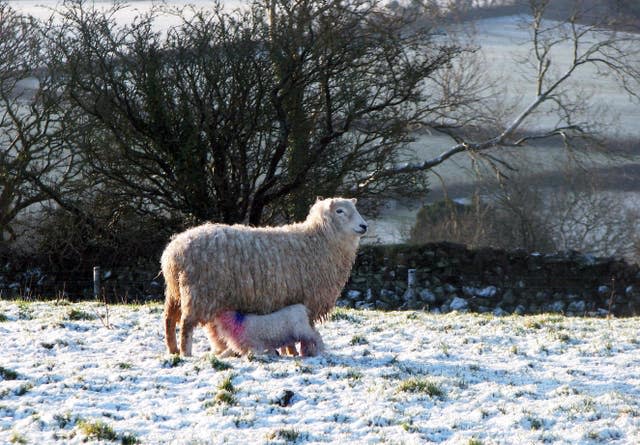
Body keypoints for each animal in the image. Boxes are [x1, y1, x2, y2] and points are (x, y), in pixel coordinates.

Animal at [160, 196, 368, 356]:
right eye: (340, 211)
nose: (364, 226)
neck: (319, 241)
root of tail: (174, 250)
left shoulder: (285, 301)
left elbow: (288, 334)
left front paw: (288, 352)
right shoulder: (305, 301)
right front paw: (297, 352)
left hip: (176, 291)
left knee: (169, 319)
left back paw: (172, 350)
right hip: (199, 292)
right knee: (186, 324)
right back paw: (186, 353)